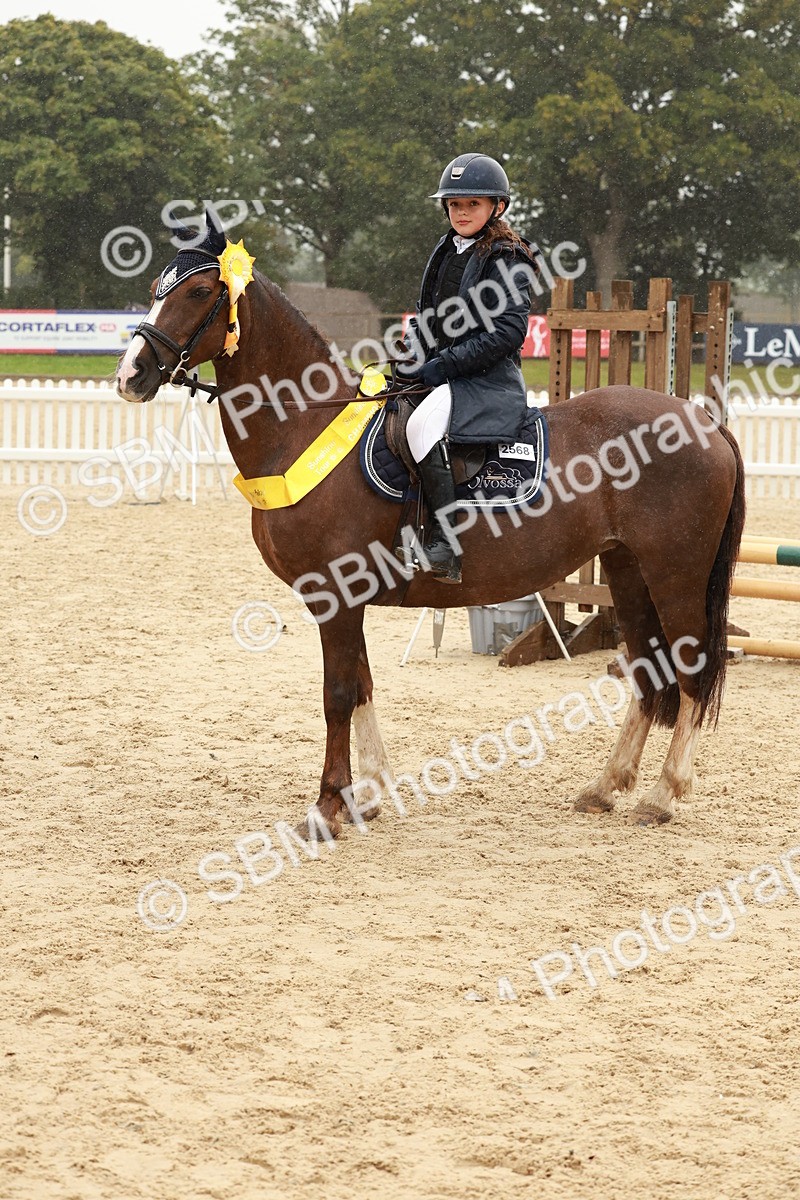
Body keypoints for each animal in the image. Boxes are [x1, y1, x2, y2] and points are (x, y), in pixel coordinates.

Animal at [116, 227, 745, 835]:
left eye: (200, 292)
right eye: (155, 289)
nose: (130, 375)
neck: (304, 426)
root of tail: (703, 422)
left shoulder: (334, 596)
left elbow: (337, 695)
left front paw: (327, 808)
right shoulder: (347, 601)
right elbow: (363, 685)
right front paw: (368, 795)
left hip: (674, 575)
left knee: (691, 670)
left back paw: (663, 795)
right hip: (627, 572)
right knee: (647, 671)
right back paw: (607, 787)